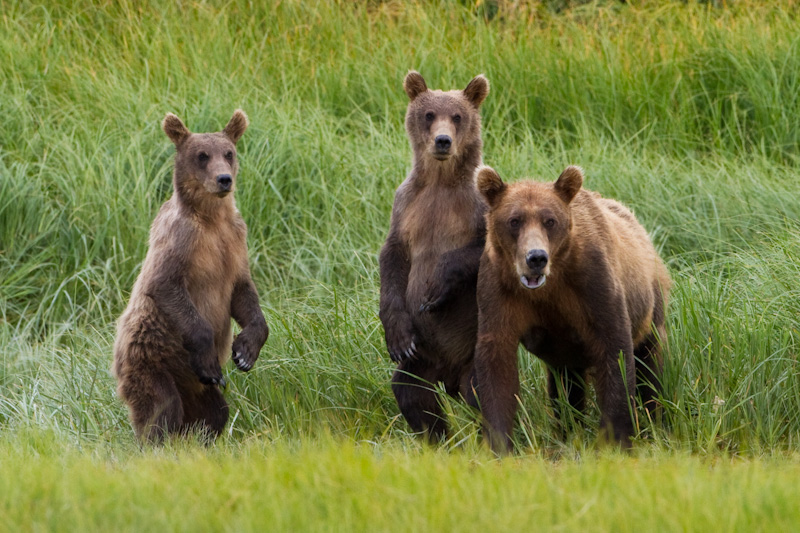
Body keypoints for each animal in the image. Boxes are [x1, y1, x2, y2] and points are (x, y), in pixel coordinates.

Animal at [112, 108, 270, 440]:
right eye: (201, 155)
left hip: (196, 388)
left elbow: (244, 293)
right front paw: (211, 357)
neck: (212, 218)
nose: (224, 179)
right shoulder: (182, 240)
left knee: (215, 412)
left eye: (228, 153)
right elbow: (165, 285)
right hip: (150, 358)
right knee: (160, 409)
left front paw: (245, 352)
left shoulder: (236, 241)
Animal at [378, 70, 490, 440]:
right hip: (423, 359)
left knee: (483, 392)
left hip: (473, 347)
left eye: (457, 116)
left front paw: (436, 287)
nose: (443, 141)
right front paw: (397, 337)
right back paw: (439, 437)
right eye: (429, 114)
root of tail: (449, 375)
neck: (441, 182)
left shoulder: (477, 203)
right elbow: (393, 258)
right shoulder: (407, 205)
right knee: (411, 393)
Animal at [476, 166, 668, 454]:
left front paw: (615, 439)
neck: (549, 284)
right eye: (514, 220)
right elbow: (497, 362)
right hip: (565, 353)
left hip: (650, 305)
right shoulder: (499, 291)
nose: (536, 257)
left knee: (649, 362)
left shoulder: (592, 284)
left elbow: (614, 350)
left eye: (550, 220)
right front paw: (498, 443)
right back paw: (567, 429)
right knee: (565, 387)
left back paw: (652, 420)